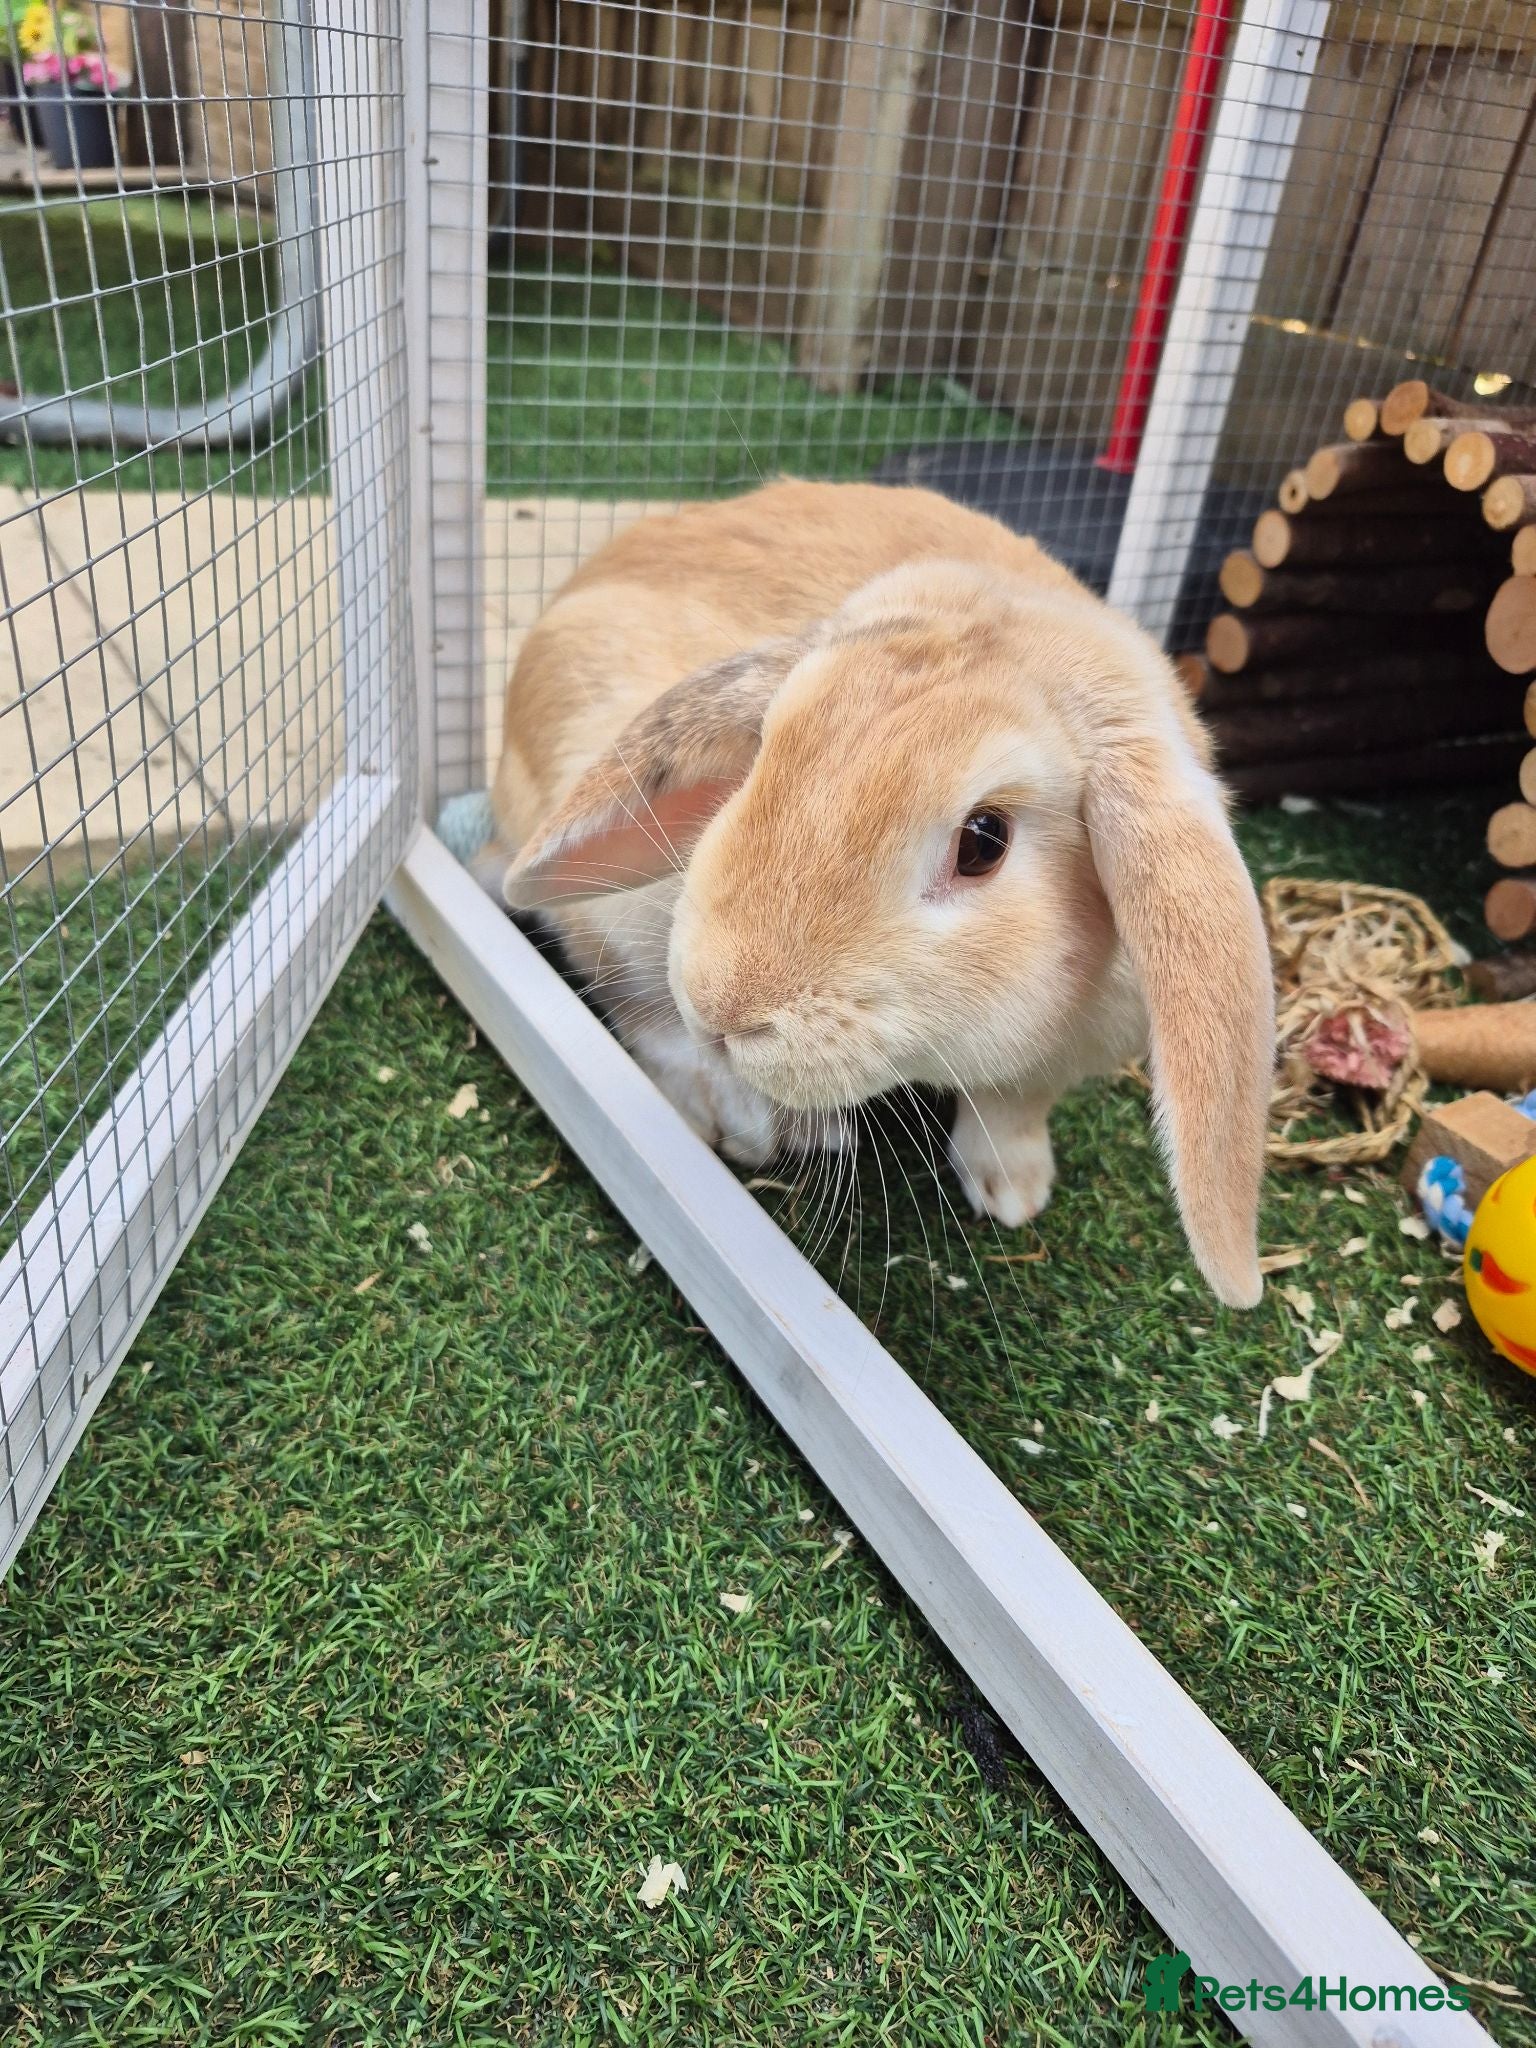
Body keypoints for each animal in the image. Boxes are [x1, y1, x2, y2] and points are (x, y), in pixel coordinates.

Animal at [481, 480, 1274, 1308]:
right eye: (763, 750)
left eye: (984, 841)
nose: (720, 1005)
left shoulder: (1054, 1065)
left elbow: (1013, 1112)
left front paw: (1015, 1195)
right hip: (621, 908)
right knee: (633, 1004)